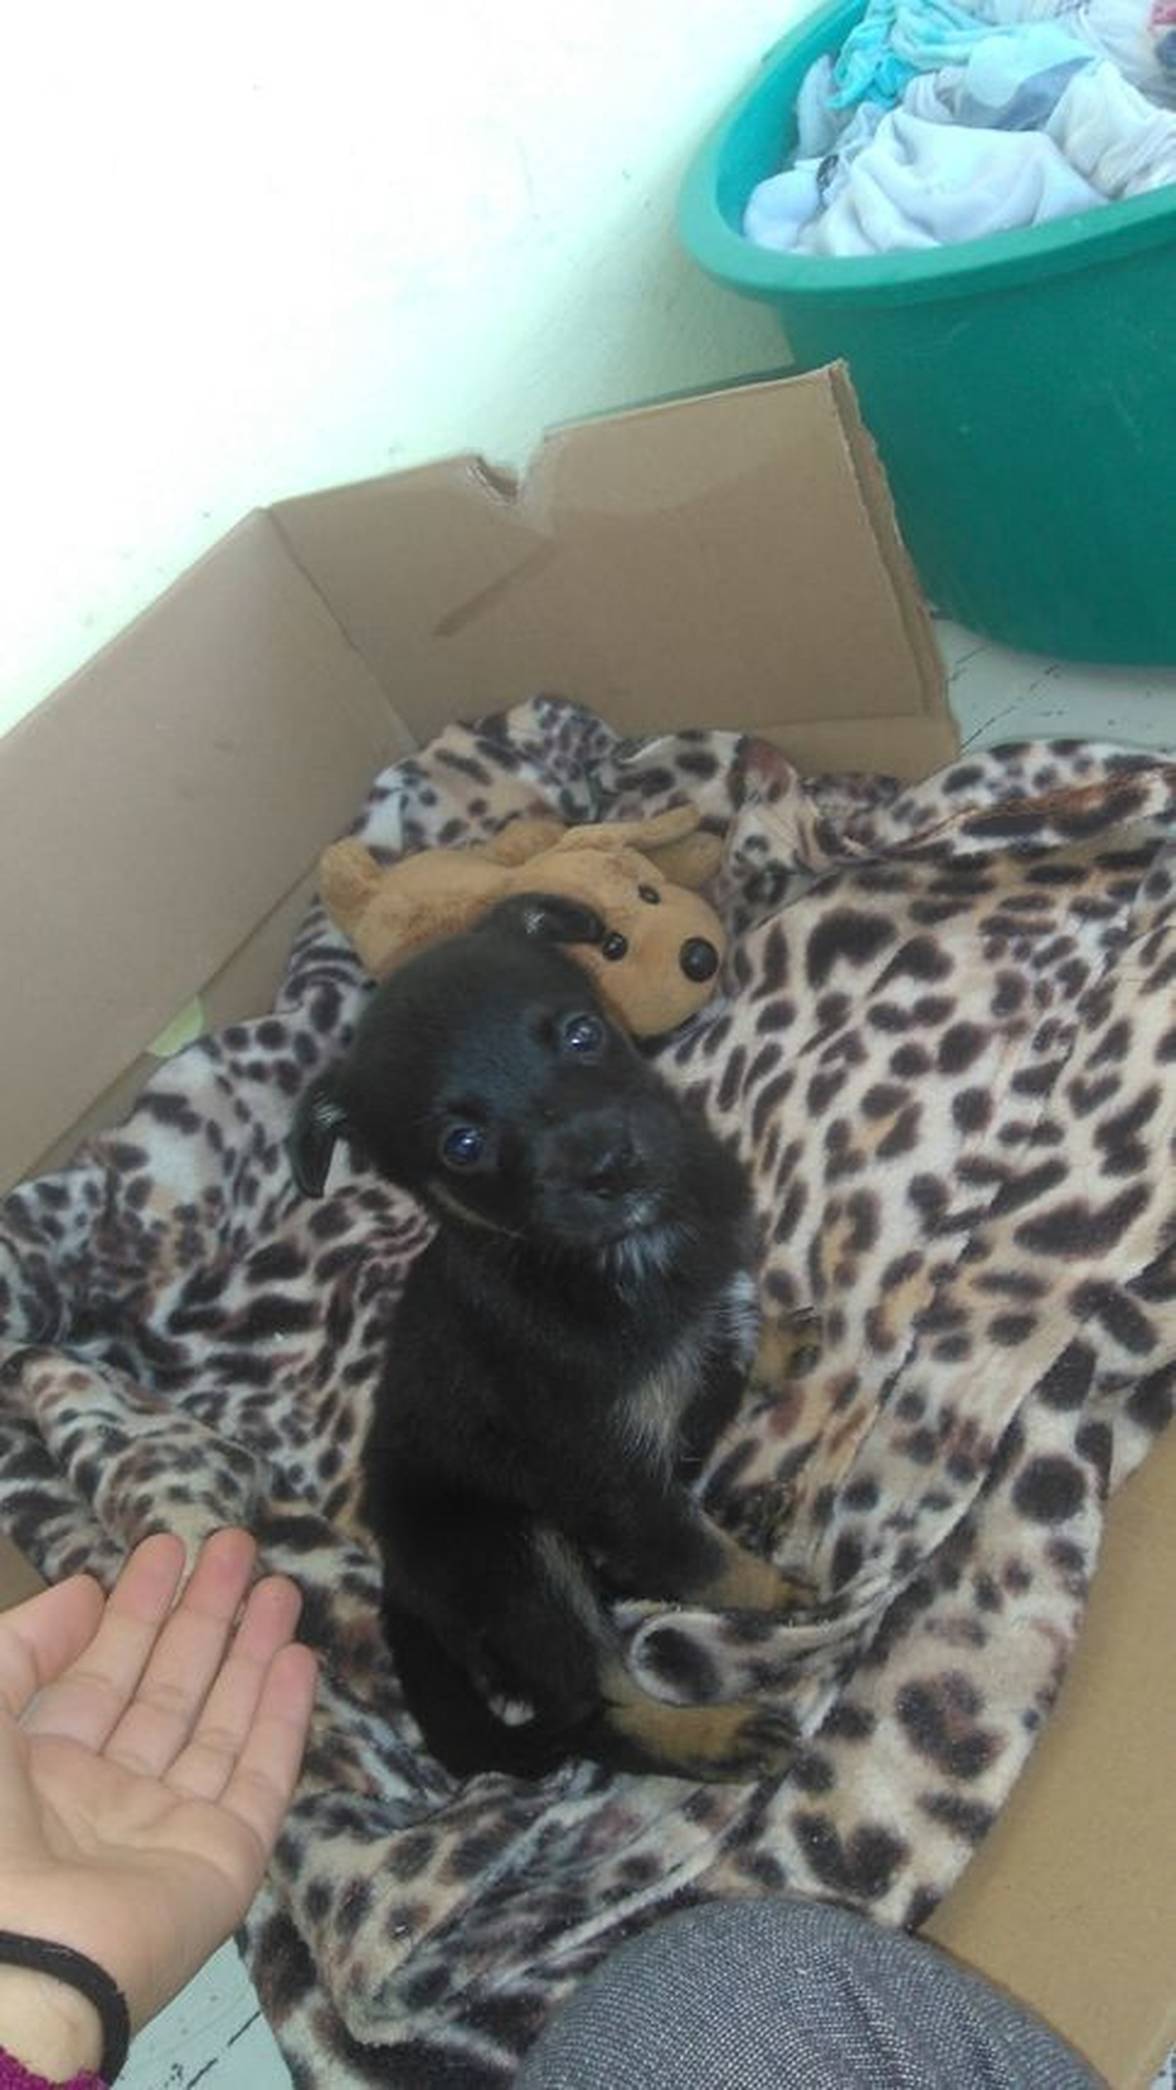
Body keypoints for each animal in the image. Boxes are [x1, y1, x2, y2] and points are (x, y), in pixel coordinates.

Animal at [289, 892, 803, 1782]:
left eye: (582, 1034)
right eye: (461, 1146)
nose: (608, 1166)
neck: (612, 1260)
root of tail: (399, 1585)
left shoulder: (722, 1297)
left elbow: (747, 1331)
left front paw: (780, 1350)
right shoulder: (614, 1483)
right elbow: (707, 1565)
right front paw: (784, 1598)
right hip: (519, 1559)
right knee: (594, 1708)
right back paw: (712, 1735)